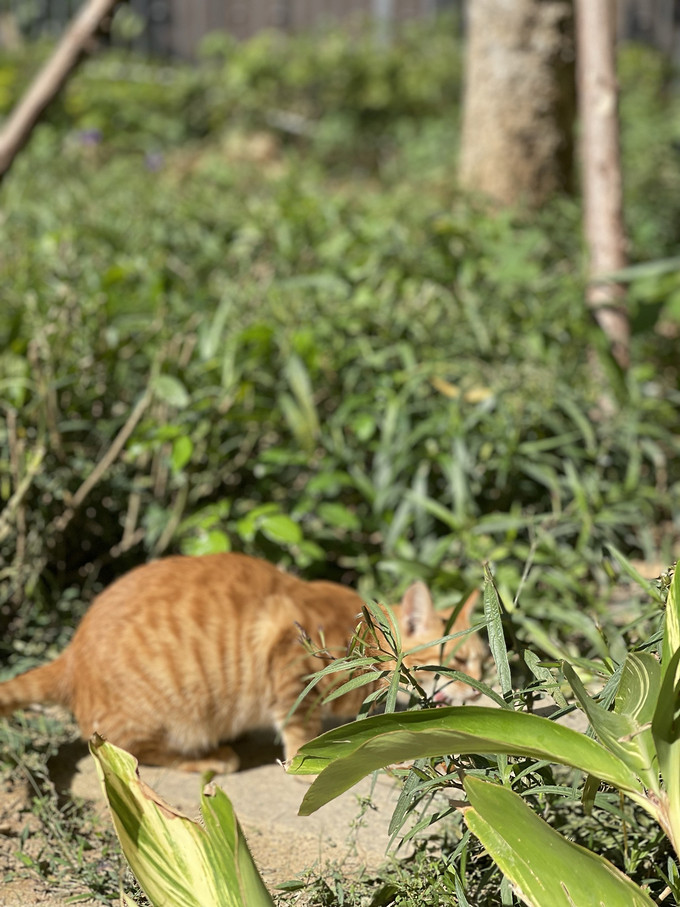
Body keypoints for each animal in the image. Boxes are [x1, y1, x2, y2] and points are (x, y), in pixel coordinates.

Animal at [1, 552, 488, 772]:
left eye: (481, 663)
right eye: (459, 660)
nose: (482, 687)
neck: (366, 640)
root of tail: (71, 654)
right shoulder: (288, 658)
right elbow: (302, 729)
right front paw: (307, 763)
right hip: (164, 715)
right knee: (128, 750)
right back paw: (209, 758)